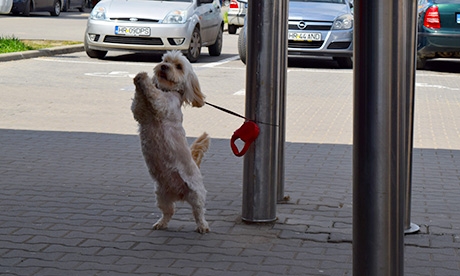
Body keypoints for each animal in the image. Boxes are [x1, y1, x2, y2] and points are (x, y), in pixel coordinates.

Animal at [132, 51, 211, 233]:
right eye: (166, 60)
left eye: (179, 66)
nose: (163, 67)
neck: (168, 90)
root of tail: (179, 194)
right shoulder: (141, 112)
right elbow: (138, 104)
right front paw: (140, 80)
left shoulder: (162, 105)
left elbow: (155, 96)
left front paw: (144, 78)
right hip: (161, 195)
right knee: (169, 212)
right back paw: (161, 223)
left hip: (196, 194)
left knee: (198, 212)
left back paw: (202, 226)